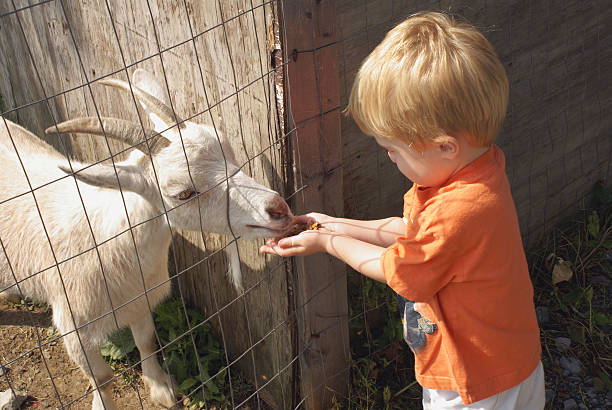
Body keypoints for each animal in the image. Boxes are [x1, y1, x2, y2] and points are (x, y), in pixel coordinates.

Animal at [0, 69, 292, 410]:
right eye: (183, 193)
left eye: (230, 155)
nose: (278, 208)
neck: (108, 244)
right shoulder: (73, 328)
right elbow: (102, 378)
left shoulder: (142, 299)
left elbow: (147, 342)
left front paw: (161, 387)